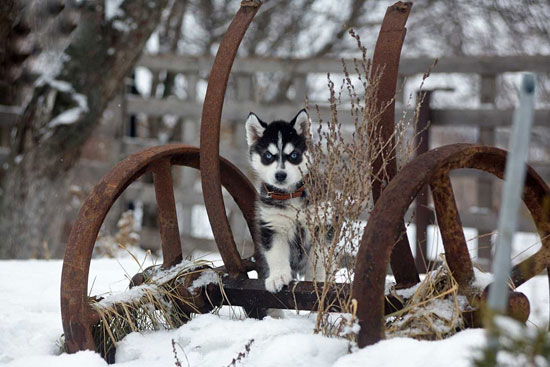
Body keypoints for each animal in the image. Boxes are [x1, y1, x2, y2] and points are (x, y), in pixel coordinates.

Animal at [246, 109, 320, 294]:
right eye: (268, 156)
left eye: (294, 155)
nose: (280, 175)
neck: (290, 195)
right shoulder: (273, 225)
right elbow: (276, 254)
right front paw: (278, 277)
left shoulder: (322, 224)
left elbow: (320, 259)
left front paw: (318, 280)